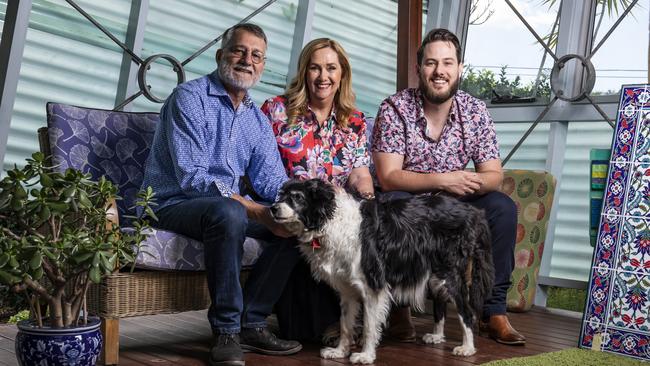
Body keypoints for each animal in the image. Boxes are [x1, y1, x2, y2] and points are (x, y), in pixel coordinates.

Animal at [270, 179, 494, 364]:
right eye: (281, 195)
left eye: (297, 197)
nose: (273, 208)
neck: (329, 221)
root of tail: (472, 211)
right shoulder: (347, 289)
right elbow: (345, 324)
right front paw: (340, 351)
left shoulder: (372, 285)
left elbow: (369, 326)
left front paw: (366, 356)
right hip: (436, 272)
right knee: (441, 302)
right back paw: (437, 336)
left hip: (450, 272)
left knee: (466, 311)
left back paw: (467, 348)